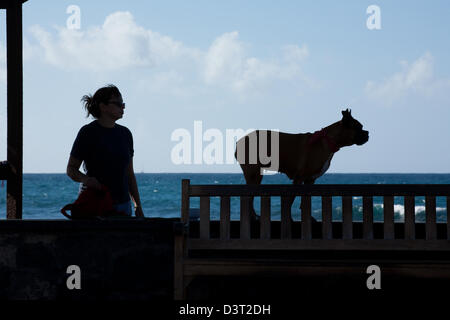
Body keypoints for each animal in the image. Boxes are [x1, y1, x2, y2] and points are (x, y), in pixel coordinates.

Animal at [236, 108, 370, 220]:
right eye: (358, 127)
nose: (367, 133)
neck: (328, 140)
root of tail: (239, 142)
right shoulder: (299, 179)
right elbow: (291, 201)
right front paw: (289, 219)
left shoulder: (310, 181)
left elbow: (305, 202)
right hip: (253, 175)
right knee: (248, 198)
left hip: (256, 177)